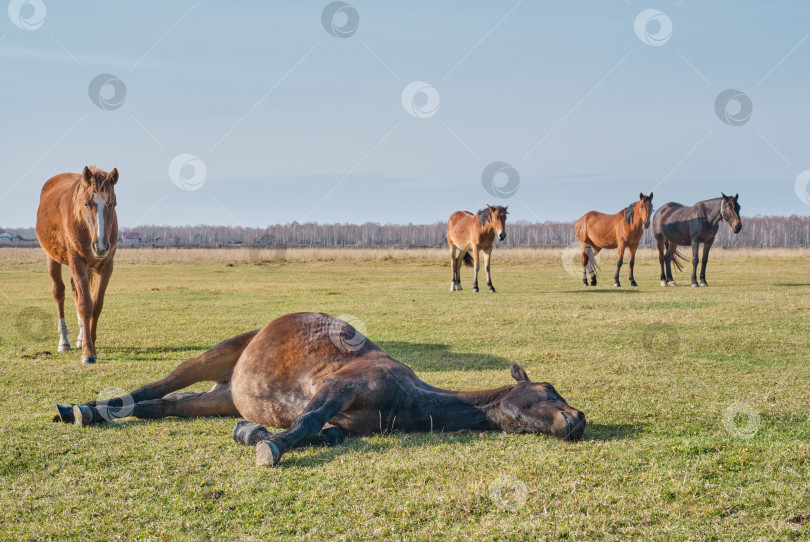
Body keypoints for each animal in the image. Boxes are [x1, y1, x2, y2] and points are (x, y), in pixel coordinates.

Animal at [35, 167, 118, 366]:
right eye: (86, 203)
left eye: (112, 204)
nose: (100, 246)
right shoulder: (77, 262)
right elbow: (85, 304)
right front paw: (88, 352)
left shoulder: (105, 266)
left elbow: (96, 305)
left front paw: (90, 343)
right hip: (53, 259)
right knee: (59, 293)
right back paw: (64, 342)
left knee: (75, 291)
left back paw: (80, 338)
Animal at [53, 312, 584, 470]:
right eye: (547, 390)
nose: (577, 420)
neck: (408, 399)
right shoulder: (337, 389)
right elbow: (306, 422)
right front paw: (269, 446)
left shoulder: (342, 418)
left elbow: (325, 432)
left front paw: (252, 433)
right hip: (215, 356)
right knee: (154, 387)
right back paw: (82, 408)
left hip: (218, 397)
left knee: (160, 406)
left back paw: (90, 412)